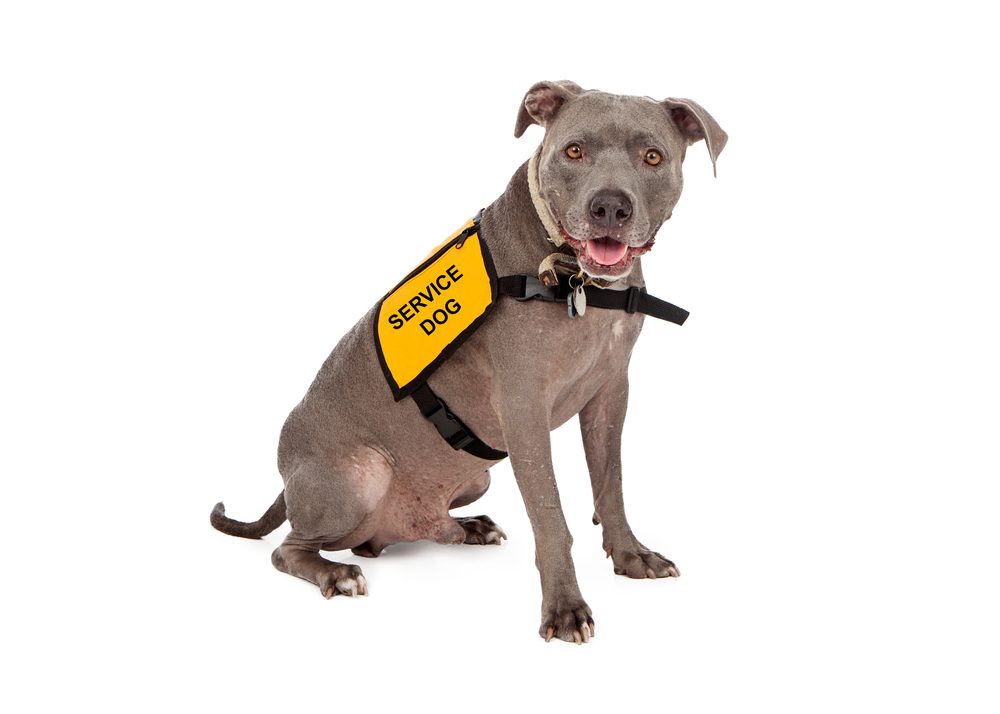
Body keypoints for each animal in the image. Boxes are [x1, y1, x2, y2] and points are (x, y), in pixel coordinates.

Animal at [211, 80, 728, 644]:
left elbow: (610, 484)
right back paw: (337, 573)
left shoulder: (611, 395)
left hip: (473, 479)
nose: (610, 207)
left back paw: (465, 527)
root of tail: (287, 484)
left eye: (652, 157)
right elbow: (551, 515)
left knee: (400, 532)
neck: (575, 281)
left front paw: (633, 556)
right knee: (290, 548)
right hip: (359, 475)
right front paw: (565, 608)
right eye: (574, 151)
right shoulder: (523, 410)